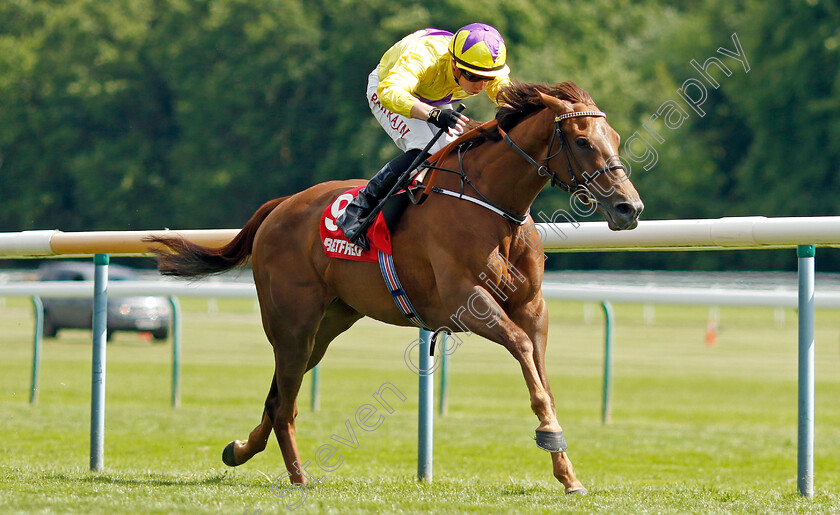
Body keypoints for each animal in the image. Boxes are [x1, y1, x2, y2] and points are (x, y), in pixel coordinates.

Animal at [148, 81, 644, 496]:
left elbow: (541, 376)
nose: (629, 208)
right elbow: (524, 354)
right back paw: (299, 477)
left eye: (615, 138)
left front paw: (568, 473)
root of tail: (281, 205)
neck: (492, 207)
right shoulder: (468, 302)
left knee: (276, 398)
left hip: (327, 325)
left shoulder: (533, 307)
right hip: (291, 324)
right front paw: (550, 438)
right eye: (582, 141)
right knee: (285, 404)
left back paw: (239, 450)